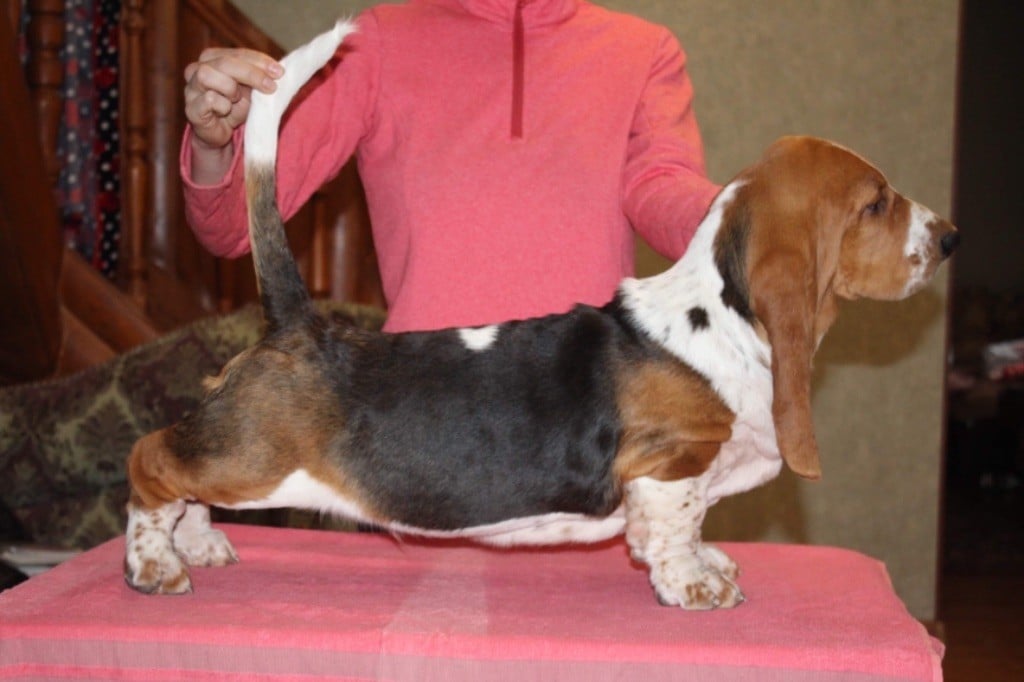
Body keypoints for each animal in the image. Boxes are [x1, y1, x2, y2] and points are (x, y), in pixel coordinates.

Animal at [124, 22, 959, 609]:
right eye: (876, 203)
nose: (950, 236)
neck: (723, 319)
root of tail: (299, 324)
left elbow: (691, 528)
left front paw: (710, 564)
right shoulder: (672, 462)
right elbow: (678, 522)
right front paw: (694, 585)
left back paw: (196, 542)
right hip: (251, 458)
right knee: (151, 457)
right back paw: (153, 561)